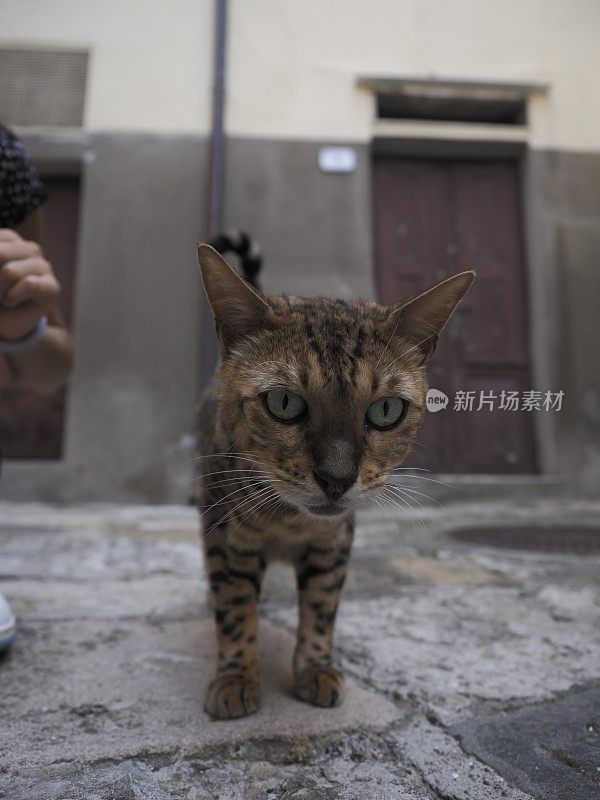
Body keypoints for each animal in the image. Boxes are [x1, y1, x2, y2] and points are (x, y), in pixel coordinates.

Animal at [196, 244, 474, 720]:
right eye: (283, 402)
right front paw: (235, 678)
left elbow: (322, 605)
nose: (336, 478)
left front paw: (316, 668)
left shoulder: (334, 541)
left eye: (386, 410)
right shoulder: (225, 532)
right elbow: (234, 606)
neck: (290, 522)